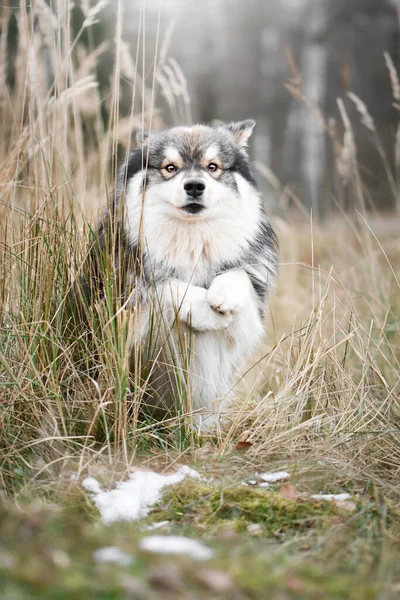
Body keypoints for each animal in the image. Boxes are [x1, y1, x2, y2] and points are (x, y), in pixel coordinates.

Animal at [81, 119, 278, 428]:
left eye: (213, 166)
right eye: (170, 167)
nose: (195, 186)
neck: (192, 240)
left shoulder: (248, 308)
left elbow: (238, 273)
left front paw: (224, 295)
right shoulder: (124, 296)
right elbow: (165, 286)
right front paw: (205, 311)